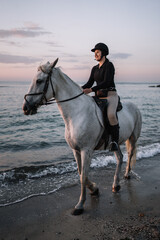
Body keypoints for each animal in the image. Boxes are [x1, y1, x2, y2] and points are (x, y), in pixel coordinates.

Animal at [22, 58, 141, 216]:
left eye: (39, 81)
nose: (25, 108)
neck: (77, 113)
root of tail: (135, 107)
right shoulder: (76, 150)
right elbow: (80, 173)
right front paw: (94, 189)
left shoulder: (86, 150)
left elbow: (83, 176)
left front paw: (80, 205)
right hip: (114, 143)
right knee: (120, 157)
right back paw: (115, 185)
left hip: (133, 138)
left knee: (130, 153)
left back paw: (126, 175)